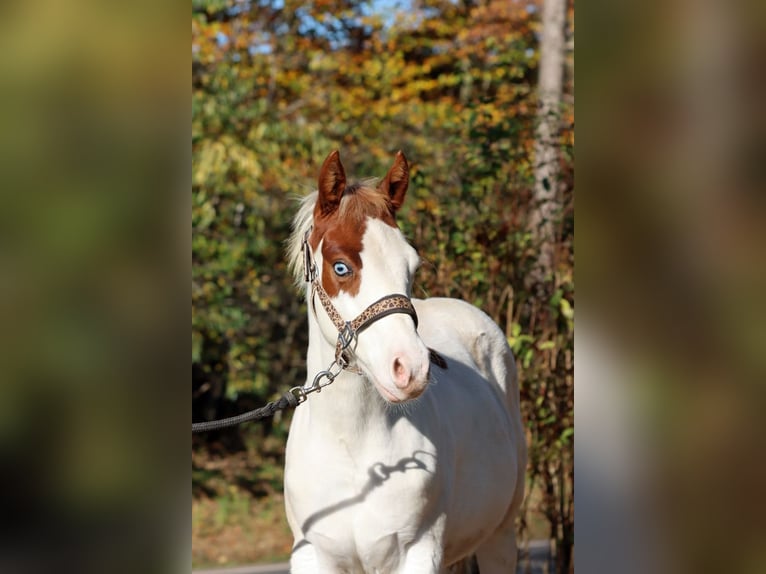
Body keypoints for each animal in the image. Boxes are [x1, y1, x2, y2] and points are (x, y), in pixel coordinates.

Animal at [284, 151, 524, 572]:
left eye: (411, 265)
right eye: (341, 266)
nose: (409, 369)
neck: (353, 450)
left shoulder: (418, 551)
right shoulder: (311, 554)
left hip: (501, 536)